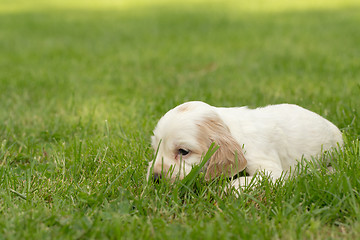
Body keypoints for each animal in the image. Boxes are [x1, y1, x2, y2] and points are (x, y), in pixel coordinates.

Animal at [146, 101, 344, 189]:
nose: (155, 178)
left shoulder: (271, 171)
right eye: (155, 150)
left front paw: (225, 189)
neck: (230, 128)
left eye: (183, 151)